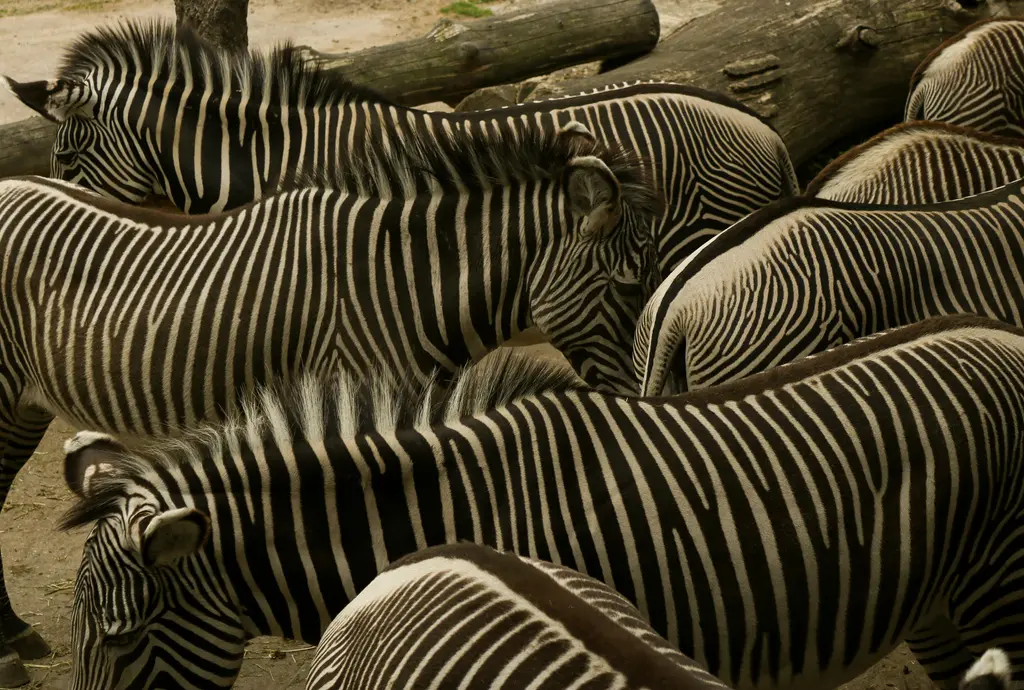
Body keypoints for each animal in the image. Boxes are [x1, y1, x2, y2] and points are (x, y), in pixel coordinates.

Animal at [0, 122, 659, 687]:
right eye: (630, 286)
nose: (644, 397)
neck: (398, 280)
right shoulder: (352, 390)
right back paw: (12, 644)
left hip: (27, 405)